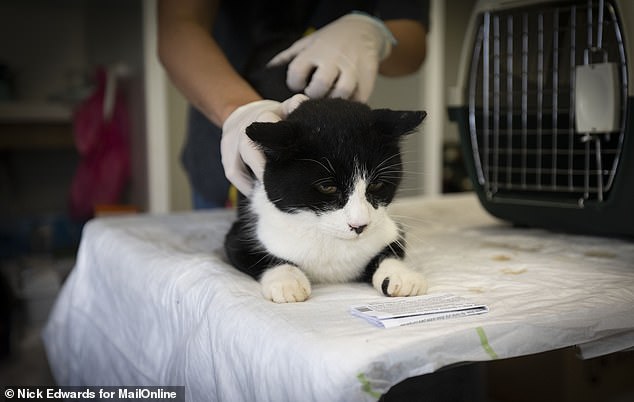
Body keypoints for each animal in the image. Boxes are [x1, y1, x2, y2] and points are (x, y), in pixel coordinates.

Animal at [225, 97, 428, 302]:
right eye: (327, 187)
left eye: (376, 184)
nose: (359, 226)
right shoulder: (243, 233)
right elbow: (256, 254)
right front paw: (287, 280)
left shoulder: (389, 227)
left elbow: (391, 248)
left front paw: (400, 275)